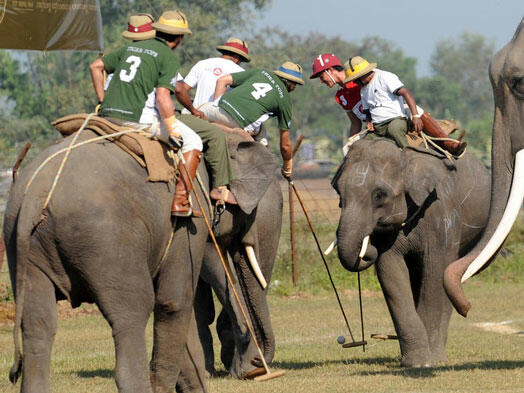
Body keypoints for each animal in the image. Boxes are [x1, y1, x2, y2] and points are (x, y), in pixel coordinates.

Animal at [3, 121, 278, 390]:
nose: (256, 366)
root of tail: (36, 195)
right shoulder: (190, 219)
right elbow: (174, 301)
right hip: (111, 243)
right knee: (132, 315)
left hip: (23, 246)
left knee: (39, 325)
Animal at [334, 137, 490, 364]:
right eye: (338, 193)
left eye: (379, 196)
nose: (368, 247)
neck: (405, 157)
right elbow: (391, 274)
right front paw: (416, 361)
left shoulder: (441, 213)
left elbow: (435, 272)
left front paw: (430, 362)